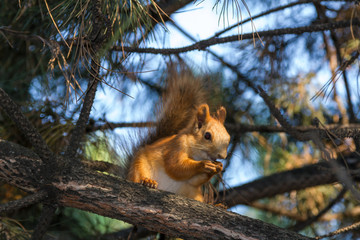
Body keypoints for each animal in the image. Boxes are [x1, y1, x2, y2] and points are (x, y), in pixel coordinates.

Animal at [126, 70, 231, 202]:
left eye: (228, 138)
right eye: (207, 136)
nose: (222, 156)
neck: (197, 154)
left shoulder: (192, 182)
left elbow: (194, 180)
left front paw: (218, 167)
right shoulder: (176, 145)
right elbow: (175, 166)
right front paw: (203, 164)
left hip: (194, 194)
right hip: (139, 165)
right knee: (138, 174)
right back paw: (147, 181)